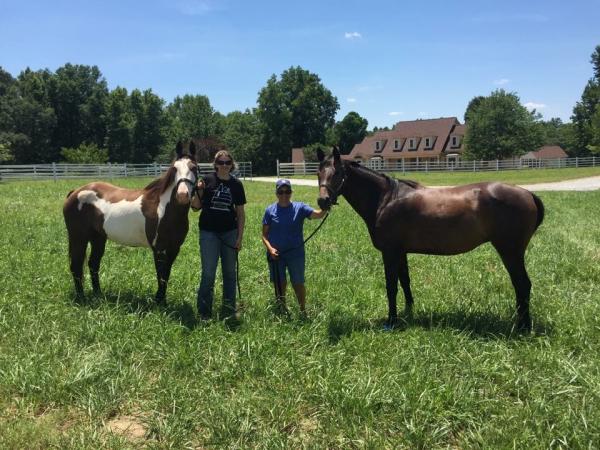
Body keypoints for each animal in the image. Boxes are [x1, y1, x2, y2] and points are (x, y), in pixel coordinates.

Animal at [63, 139, 199, 304]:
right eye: (175, 168)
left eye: (194, 168)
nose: (182, 195)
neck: (165, 209)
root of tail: (75, 192)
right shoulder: (159, 249)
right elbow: (160, 276)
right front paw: (159, 302)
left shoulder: (174, 249)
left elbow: (166, 275)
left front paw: (162, 301)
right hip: (78, 238)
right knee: (76, 266)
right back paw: (81, 298)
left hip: (98, 238)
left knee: (93, 264)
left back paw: (98, 295)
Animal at [316, 148, 548, 330]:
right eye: (318, 172)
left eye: (338, 173)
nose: (323, 200)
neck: (386, 199)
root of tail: (528, 194)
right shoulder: (400, 252)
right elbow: (405, 281)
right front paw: (409, 311)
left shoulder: (390, 252)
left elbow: (391, 286)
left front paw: (392, 321)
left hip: (510, 252)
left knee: (522, 284)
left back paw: (522, 326)